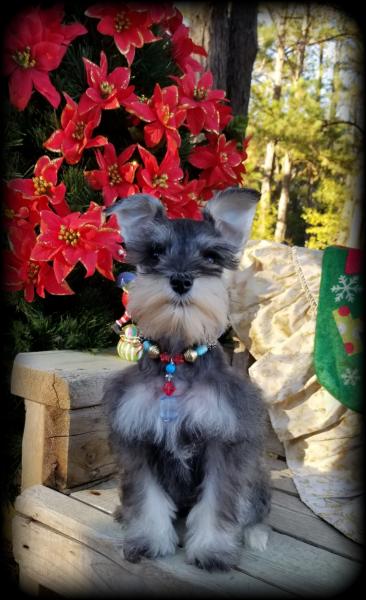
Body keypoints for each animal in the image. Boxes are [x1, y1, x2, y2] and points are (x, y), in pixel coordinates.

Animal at [104, 188, 270, 572]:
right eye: (155, 252)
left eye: (210, 255)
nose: (181, 280)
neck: (175, 364)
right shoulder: (138, 440)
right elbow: (147, 499)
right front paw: (149, 540)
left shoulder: (224, 441)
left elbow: (218, 502)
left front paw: (212, 550)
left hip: (255, 474)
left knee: (254, 506)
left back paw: (255, 534)